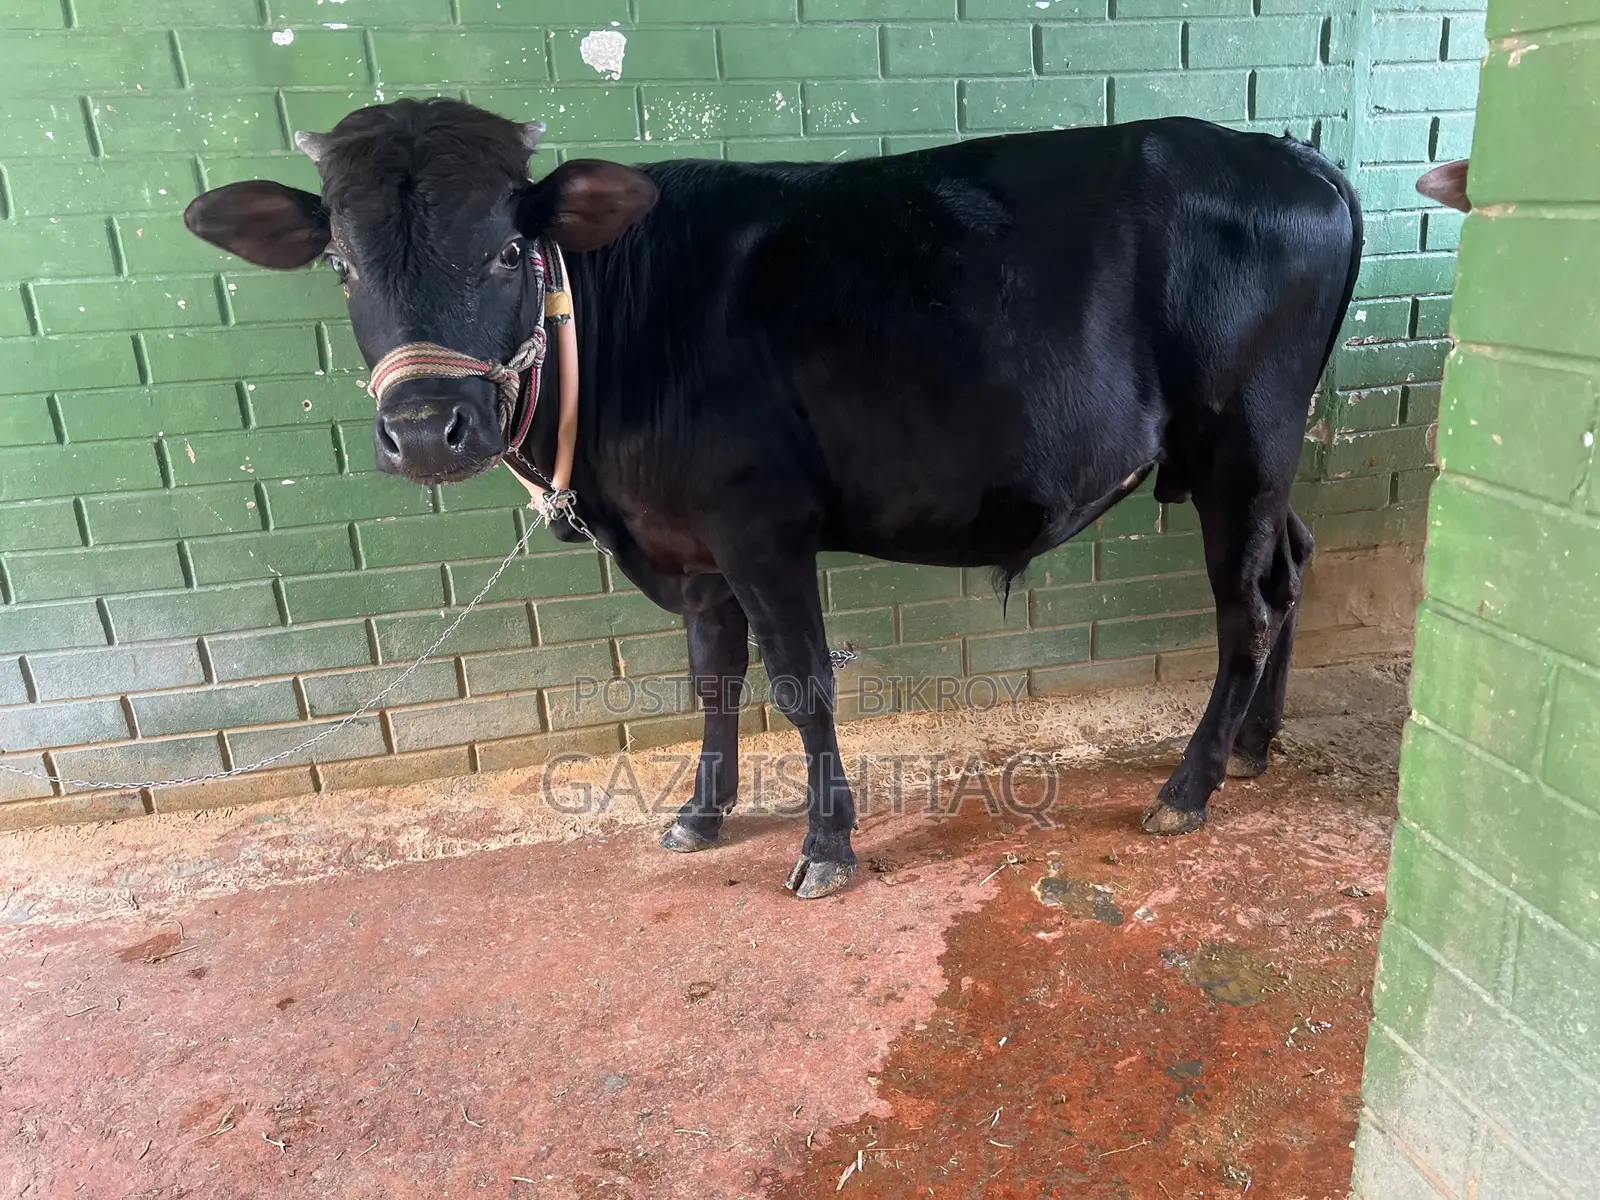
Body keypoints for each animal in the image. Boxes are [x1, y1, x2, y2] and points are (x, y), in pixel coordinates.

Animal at [184, 98, 1362, 899]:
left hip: (1243, 438)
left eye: (510, 246)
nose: (429, 429)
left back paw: (1189, 787)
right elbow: (712, 682)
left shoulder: (760, 526)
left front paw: (826, 846)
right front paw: (700, 816)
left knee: (1246, 608)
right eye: (341, 262)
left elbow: (800, 683)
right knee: (1294, 563)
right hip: (1263, 460)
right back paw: (1253, 747)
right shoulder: (691, 547)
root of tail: (1294, 154)